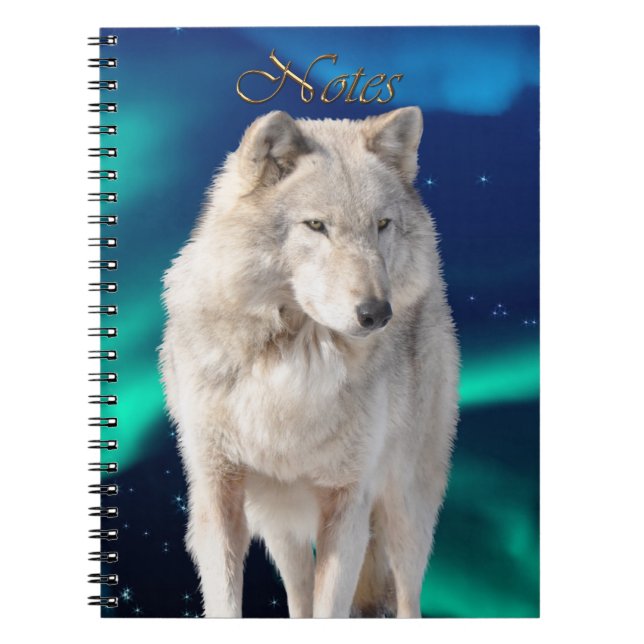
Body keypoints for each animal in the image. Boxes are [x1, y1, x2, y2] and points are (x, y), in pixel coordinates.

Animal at [160, 106, 459, 618]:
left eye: (382, 224)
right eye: (317, 226)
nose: (377, 313)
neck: (294, 365)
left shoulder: (347, 503)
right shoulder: (218, 498)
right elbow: (227, 602)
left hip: (404, 506)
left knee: (408, 597)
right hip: (280, 522)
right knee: (298, 598)